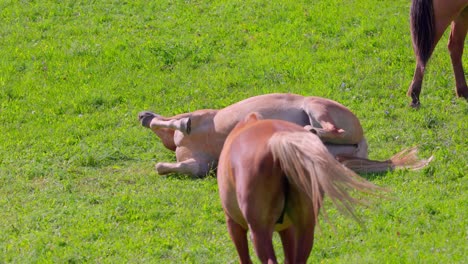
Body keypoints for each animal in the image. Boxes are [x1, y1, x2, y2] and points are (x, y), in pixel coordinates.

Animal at [139, 93, 432, 177]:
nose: (142, 113)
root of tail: (363, 144)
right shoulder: (200, 164)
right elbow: (167, 165)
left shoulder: (202, 118)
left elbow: (172, 123)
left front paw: (172, 122)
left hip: (315, 107)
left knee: (332, 129)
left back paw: (306, 129)